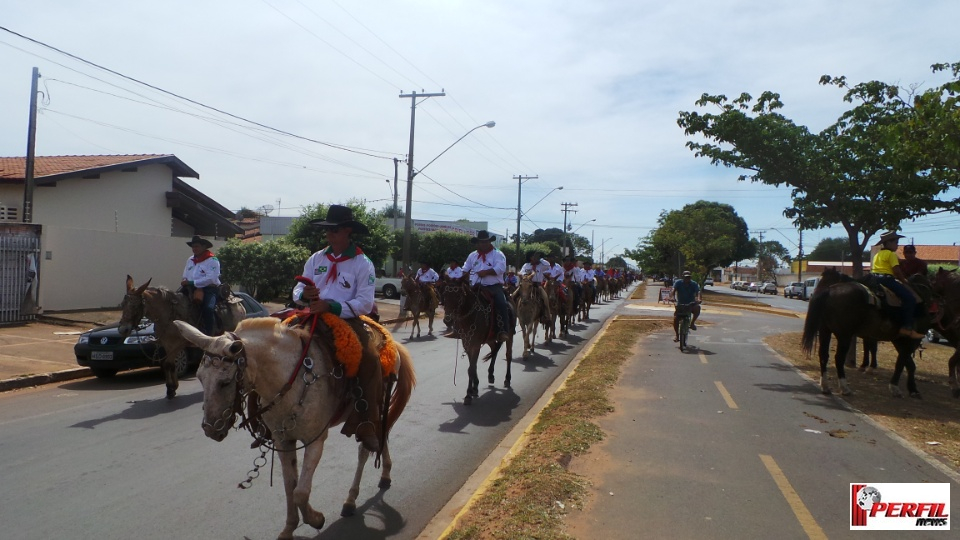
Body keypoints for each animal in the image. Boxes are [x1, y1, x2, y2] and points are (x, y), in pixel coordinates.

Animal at [118, 276, 246, 398]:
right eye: (122, 305)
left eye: (135, 305)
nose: (122, 329)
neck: (169, 316)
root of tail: (238, 302)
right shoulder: (167, 344)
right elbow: (168, 365)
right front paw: (172, 387)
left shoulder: (177, 345)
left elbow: (169, 364)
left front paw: (171, 388)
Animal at [174, 316, 414, 540]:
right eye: (199, 378)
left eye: (224, 382)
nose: (210, 429)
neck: (290, 379)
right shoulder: (283, 441)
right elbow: (290, 487)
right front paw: (289, 528)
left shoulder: (315, 440)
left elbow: (301, 492)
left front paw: (316, 519)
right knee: (382, 436)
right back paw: (384, 474)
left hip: (375, 407)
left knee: (366, 446)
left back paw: (351, 498)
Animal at [438, 274, 516, 404]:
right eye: (444, 294)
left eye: (459, 296)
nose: (447, 320)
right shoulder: (467, 343)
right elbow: (472, 366)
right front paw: (475, 387)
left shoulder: (475, 344)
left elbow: (471, 368)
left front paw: (468, 394)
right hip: (489, 338)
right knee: (494, 350)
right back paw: (490, 375)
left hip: (509, 335)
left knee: (508, 355)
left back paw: (508, 379)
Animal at [804, 268, 928, 398]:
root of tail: (829, 291)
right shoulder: (909, 339)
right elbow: (902, 361)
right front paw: (899, 387)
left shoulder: (895, 338)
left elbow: (903, 360)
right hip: (844, 335)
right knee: (839, 358)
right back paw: (844, 387)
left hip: (825, 330)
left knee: (823, 355)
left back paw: (825, 386)